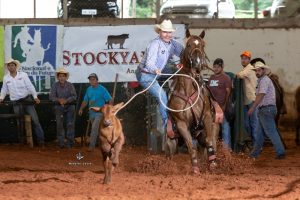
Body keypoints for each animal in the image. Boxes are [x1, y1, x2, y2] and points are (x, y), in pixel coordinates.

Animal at [165, 29, 219, 173]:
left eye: (202, 45)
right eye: (188, 45)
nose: (197, 62)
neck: (188, 91)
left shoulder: (206, 116)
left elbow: (209, 141)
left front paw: (212, 163)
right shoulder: (181, 124)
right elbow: (190, 146)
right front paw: (195, 168)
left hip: (213, 128)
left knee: (210, 142)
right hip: (171, 139)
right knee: (172, 152)